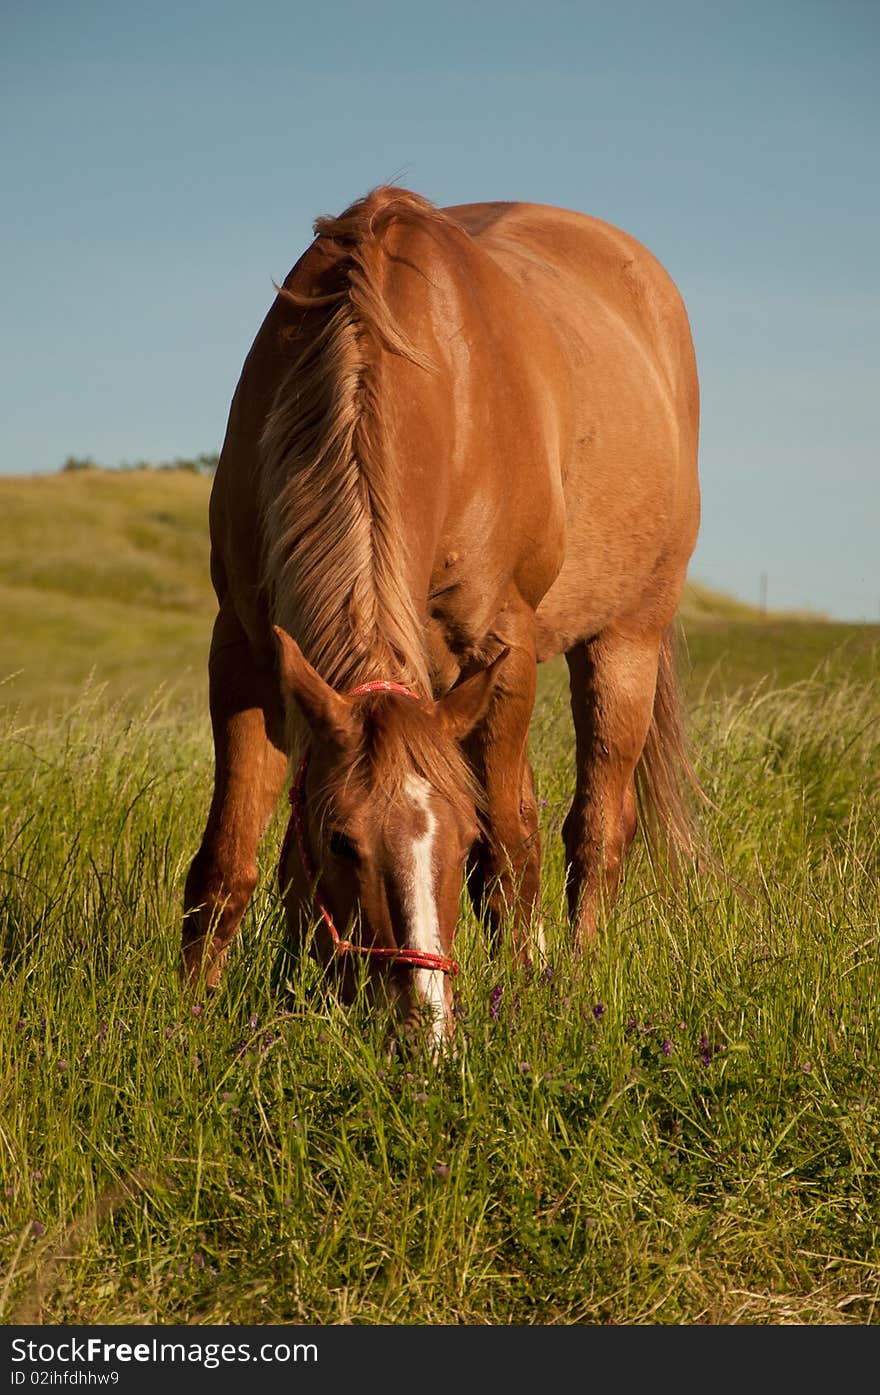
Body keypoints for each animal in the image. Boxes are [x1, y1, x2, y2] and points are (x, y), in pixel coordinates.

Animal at [182, 185, 700, 1043]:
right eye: (342, 841)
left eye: (457, 840)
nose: (422, 1027)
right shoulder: (248, 654)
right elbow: (231, 859)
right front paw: (202, 1011)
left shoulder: (503, 650)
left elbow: (511, 850)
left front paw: (521, 986)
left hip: (623, 640)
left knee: (596, 827)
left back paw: (577, 966)